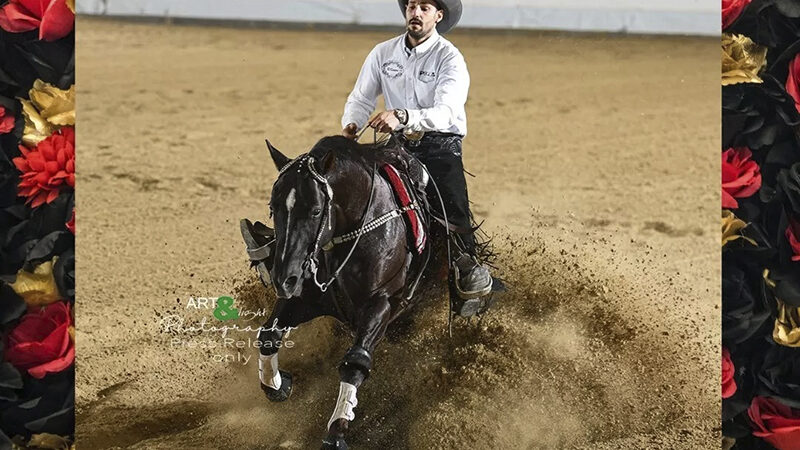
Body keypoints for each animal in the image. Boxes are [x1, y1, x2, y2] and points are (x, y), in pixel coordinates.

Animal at [241, 135, 496, 448]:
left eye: (316, 210)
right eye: (273, 207)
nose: (283, 279)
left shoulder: (380, 306)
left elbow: (356, 361)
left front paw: (337, 432)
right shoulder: (304, 299)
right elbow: (268, 336)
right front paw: (278, 384)